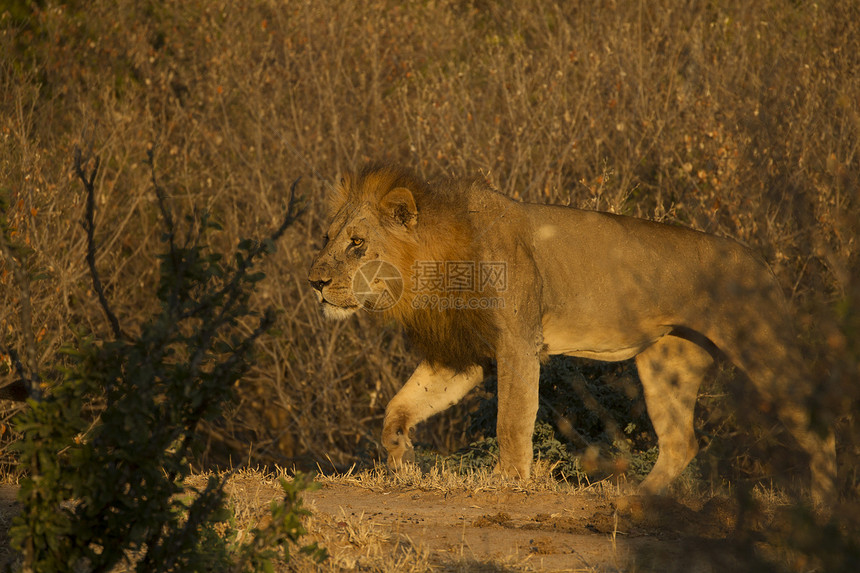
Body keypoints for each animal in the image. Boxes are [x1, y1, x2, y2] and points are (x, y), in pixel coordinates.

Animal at [306, 163, 836, 502]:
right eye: (327, 238)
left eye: (357, 244)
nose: (314, 281)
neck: (432, 266)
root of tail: (762, 263)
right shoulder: (463, 357)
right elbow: (399, 407)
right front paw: (401, 459)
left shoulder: (518, 343)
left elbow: (512, 419)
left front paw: (507, 480)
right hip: (667, 362)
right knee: (681, 441)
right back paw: (635, 499)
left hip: (762, 347)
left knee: (816, 425)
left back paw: (826, 506)